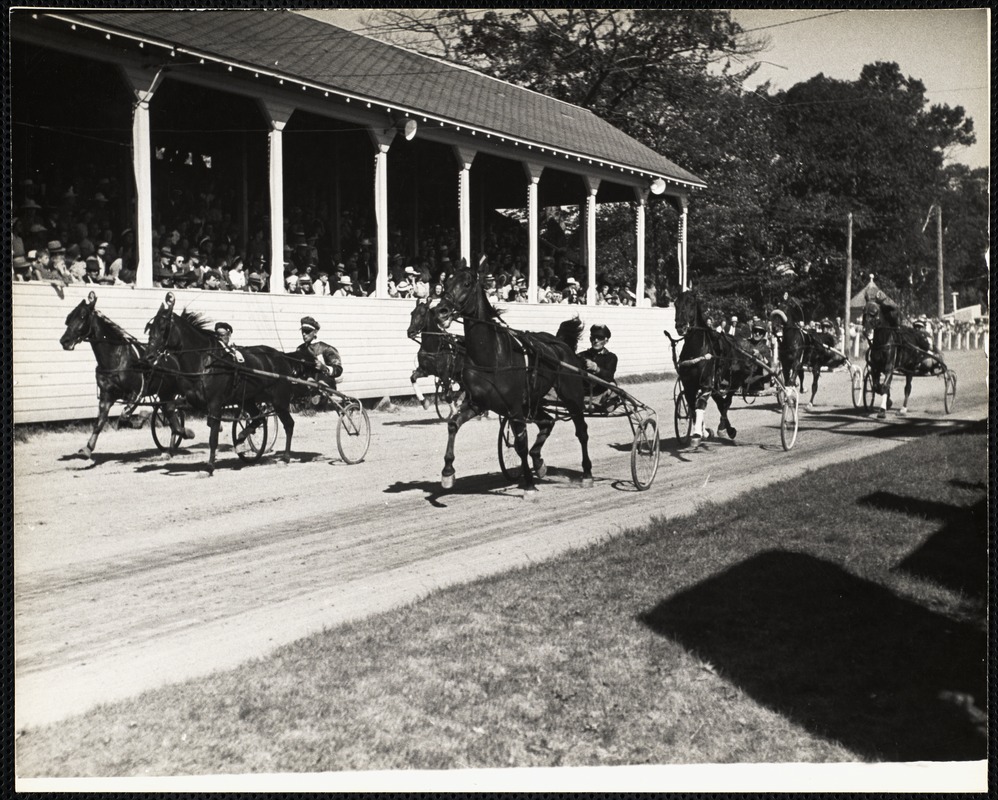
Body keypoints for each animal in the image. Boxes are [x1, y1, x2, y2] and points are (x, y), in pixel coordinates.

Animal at [59, 292, 191, 456]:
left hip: (171, 391)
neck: (116, 358)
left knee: (174, 414)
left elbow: (124, 415)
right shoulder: (107, 395)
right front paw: (87, 449)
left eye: (83, 316)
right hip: (165, 393)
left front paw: (140, 418)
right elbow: (100, 422)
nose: (64, 341)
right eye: (70, 316)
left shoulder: (136, 393)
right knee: (171, 414)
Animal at [146, 294, 300, 476]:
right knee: (259, 417)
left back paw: (285, 457)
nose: (149, 356)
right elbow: (171, 411)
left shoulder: (215, 403)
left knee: (288, 424)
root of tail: (280, 356)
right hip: (249, 398)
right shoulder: (193, 400)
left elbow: (213, 437)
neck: (205, 362)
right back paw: (242, 436)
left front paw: (209, 467)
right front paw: (186, 432)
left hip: (279, 400)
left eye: (164, 328)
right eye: (150, 327)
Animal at [432, 260, 588, 490]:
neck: (490, 357)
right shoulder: (478, 402)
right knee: (548, 421)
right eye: (446, 282)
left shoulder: (514, 408)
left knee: (581, 430)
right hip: (533, 401)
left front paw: (529, 485)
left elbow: (520, 443)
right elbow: (452, 424)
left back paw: (587, 473)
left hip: (571, 396)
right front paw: (447, 472)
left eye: (467, 283)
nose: (441, 311)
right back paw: (539, 461)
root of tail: (560, 342)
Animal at [672, 290, 756, 450]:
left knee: (726, 402)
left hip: (735, 380)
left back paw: (725, 429)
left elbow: (700, 404)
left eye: (691, 303)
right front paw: (704, 432)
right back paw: (726, 428)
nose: (681, 326)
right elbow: (692, 407)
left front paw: (697, 435)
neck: (695, 349)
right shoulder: (689, 385)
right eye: (676, 303)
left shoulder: (706, 383)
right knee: (720, 403)